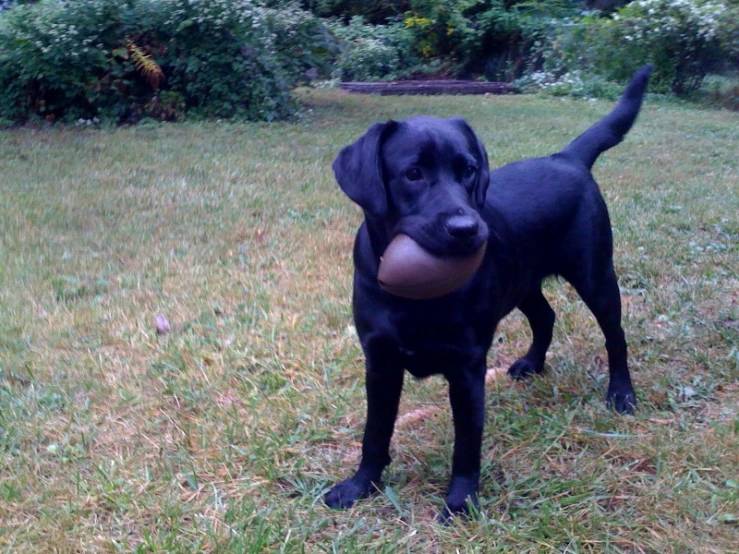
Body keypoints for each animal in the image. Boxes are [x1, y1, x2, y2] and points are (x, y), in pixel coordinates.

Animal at [326, 66, 652, 516]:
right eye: (412, 174)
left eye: (468, 170)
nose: (466, 229)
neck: (413, 298)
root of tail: (565, 158)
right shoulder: (379, 362)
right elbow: (375, 432)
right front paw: (360, 485)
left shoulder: (466, 367)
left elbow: (467, 442)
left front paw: (461, 500)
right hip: (523, 282)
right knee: (546, 316)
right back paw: (532, 364)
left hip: (596, 276)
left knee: (614, 336)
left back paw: (621, 393)